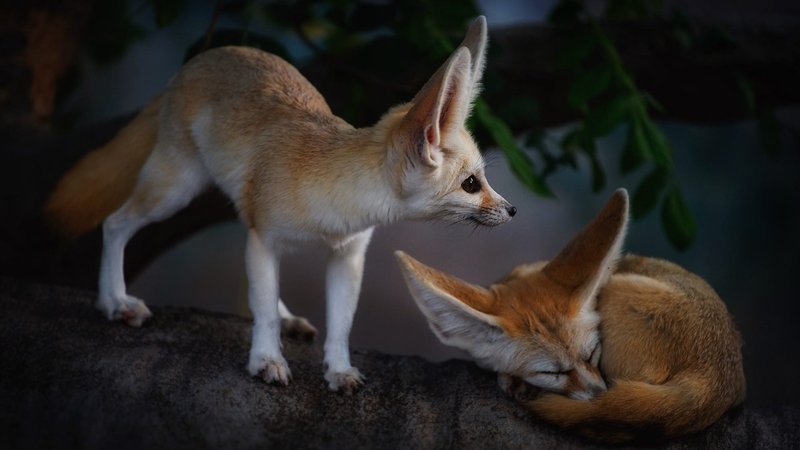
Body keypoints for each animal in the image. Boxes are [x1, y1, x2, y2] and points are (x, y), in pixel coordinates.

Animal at [43, 16, 516, 394]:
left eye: (482, 180)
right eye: (471, 184)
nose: (513, 211)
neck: (340, 198)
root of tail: (199, 60)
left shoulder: (347, 255)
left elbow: (339, 322)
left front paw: (338, 369)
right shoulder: (265, 238)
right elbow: (263, 309)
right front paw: (267, 360)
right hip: (175, 191)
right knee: (114, 223)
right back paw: (114, 301)